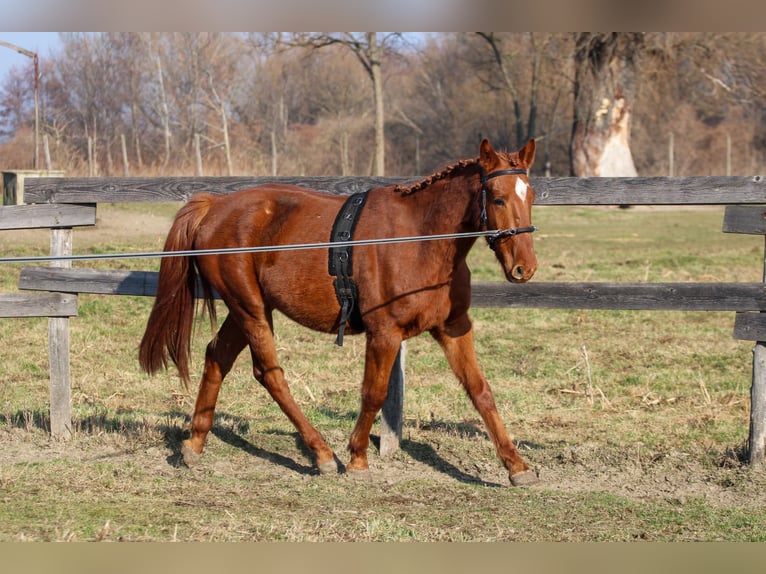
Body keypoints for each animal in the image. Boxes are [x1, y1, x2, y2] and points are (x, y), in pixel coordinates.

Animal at [141, 138, 544, 486]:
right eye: (497, 198)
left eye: (531, 196)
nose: (524, 268)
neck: (420, 239)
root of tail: (214, 205)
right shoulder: (384, 333)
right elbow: (374, 393)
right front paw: (357, 458)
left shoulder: (453, 327)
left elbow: (480, 391)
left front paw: (516, 466)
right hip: (250, 308)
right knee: (270, 374)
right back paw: (321, 453)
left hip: (248, 308)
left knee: (217, 357)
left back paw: (194, 444)